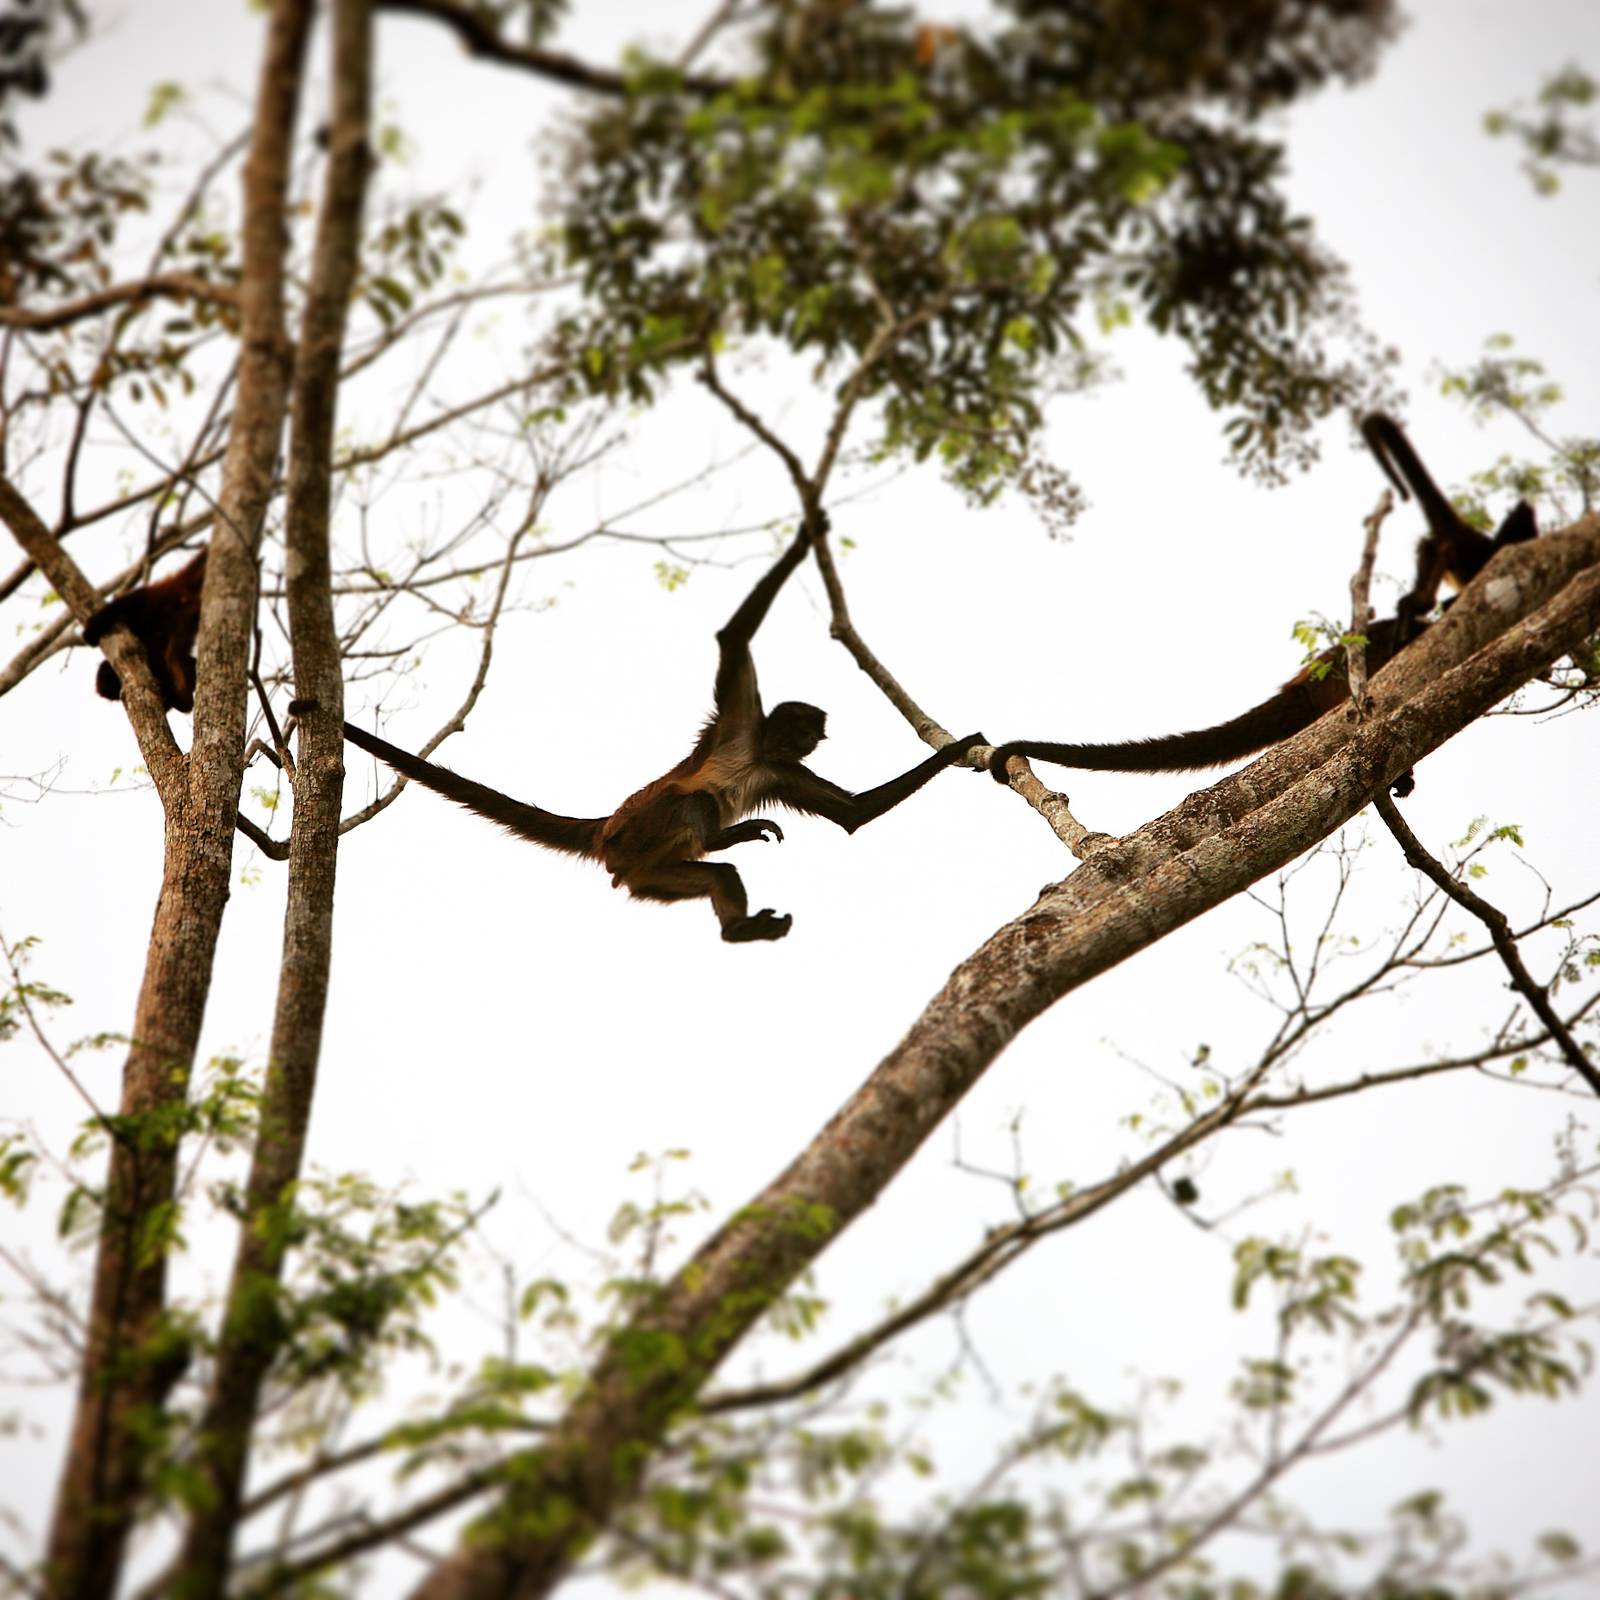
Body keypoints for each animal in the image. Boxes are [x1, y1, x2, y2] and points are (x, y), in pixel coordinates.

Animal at [330, 521, 986, 943]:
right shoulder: (741, 720)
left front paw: (963, 748)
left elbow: (854, 813)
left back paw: (736, 928)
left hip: (645, 872)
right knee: (688, 797)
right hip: (637, 832)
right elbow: (733, 639)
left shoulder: (779, 769)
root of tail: (607, 830)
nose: (805, 740)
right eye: (801, 727)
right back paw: (723, 840)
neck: (758, 750)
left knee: (715, 873)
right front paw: (804, 537)